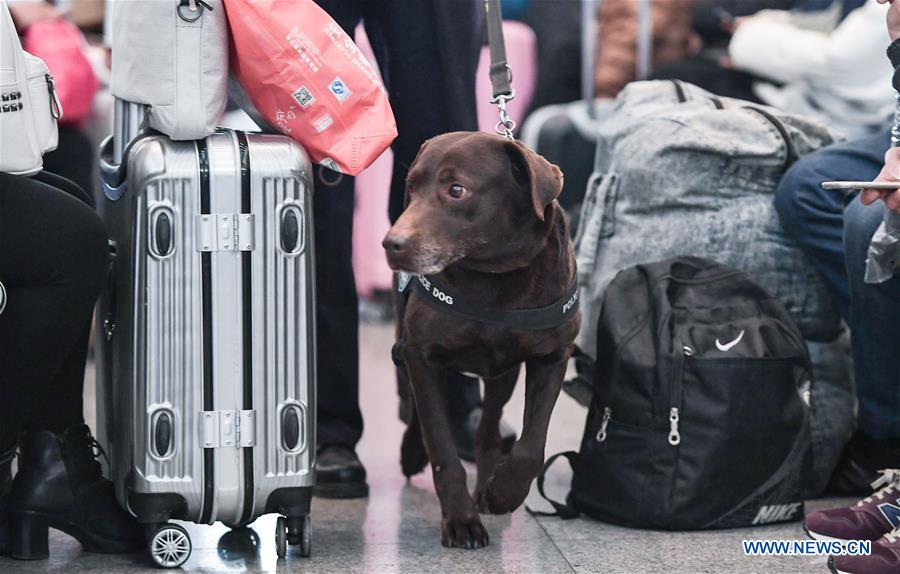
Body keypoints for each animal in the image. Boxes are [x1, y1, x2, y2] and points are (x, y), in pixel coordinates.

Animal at [382, 133, 580, 552]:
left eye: (456, 190)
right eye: (412, 188)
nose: (391, 244)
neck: (497, 275)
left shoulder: (553, 356)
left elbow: (531, 446)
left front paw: (503, 494)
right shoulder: (420, 355)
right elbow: (441, 447)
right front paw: (461, 521)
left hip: (502, 374)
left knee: (488, 429)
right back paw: (412, 452)